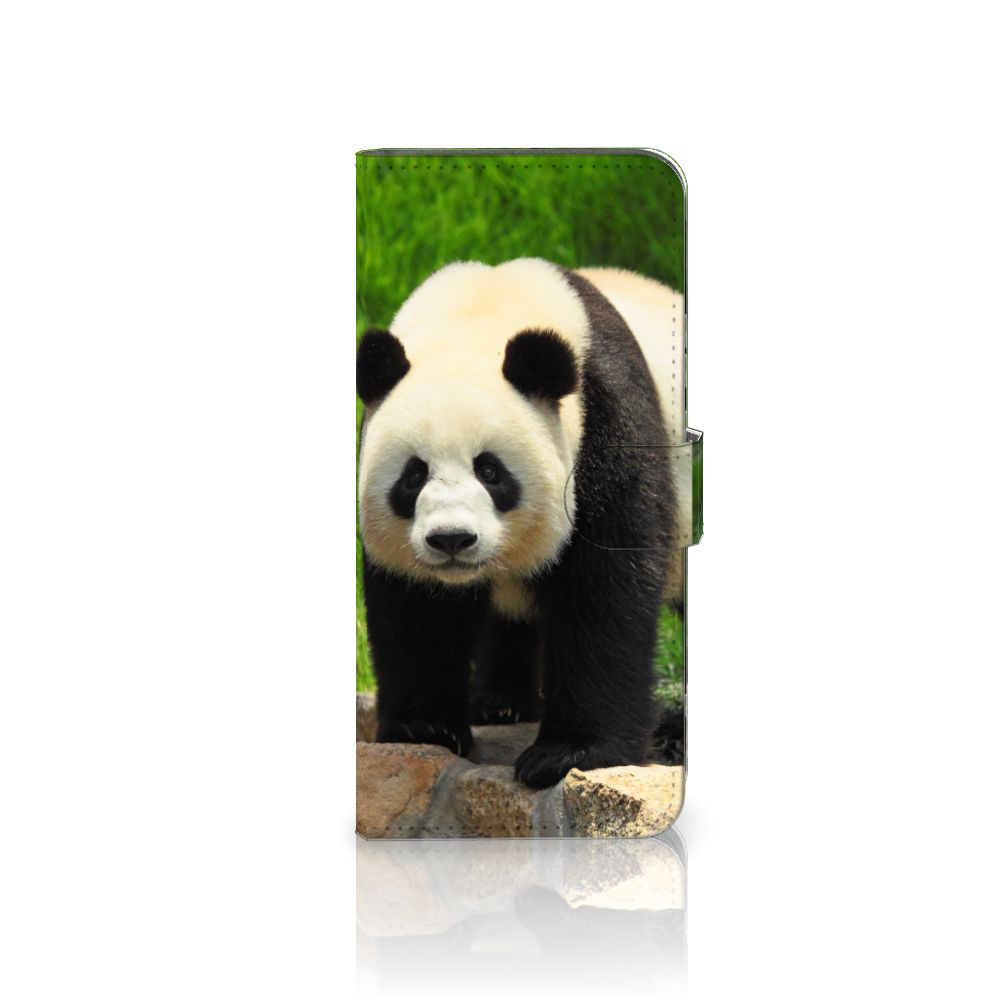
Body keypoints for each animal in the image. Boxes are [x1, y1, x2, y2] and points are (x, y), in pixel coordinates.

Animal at [356, 258, 686, 789]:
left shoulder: (607, 423)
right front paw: (423, 728)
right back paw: (500, 704)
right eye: (413, 475)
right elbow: (417, 607)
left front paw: (569, 753)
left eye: (490, 471)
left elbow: (605, 589)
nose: (452, 539)